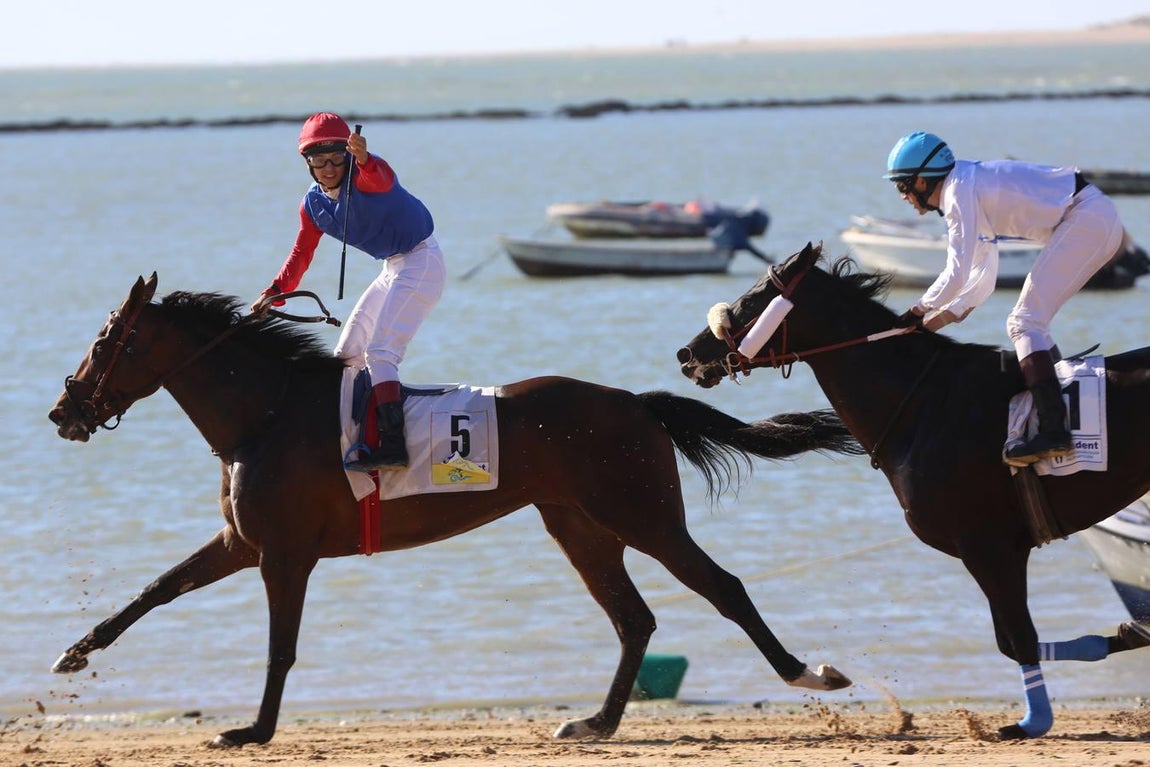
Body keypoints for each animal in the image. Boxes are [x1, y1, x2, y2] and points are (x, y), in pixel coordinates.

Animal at [48, 273, 863, 748]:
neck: (266, 414)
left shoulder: (284, 554)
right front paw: (74, 652)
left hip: (645, 516)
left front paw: (252, 730)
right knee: (634, 620)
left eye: (106, 340)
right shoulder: (241, 542)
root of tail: (636, 402)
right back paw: (595, 721)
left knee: (722, 587)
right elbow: (154, 590)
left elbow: (280, 646)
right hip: (579, 526)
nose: (64, 409)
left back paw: (808, 674)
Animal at [675, 241, 1150, 739]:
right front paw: (1130, 632)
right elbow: (1014, 639)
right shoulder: (993, 549)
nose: (687, 355)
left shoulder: (988, 545)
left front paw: (1033, 720)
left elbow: (1018, 638)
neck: (922, 405)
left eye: (750, 302)